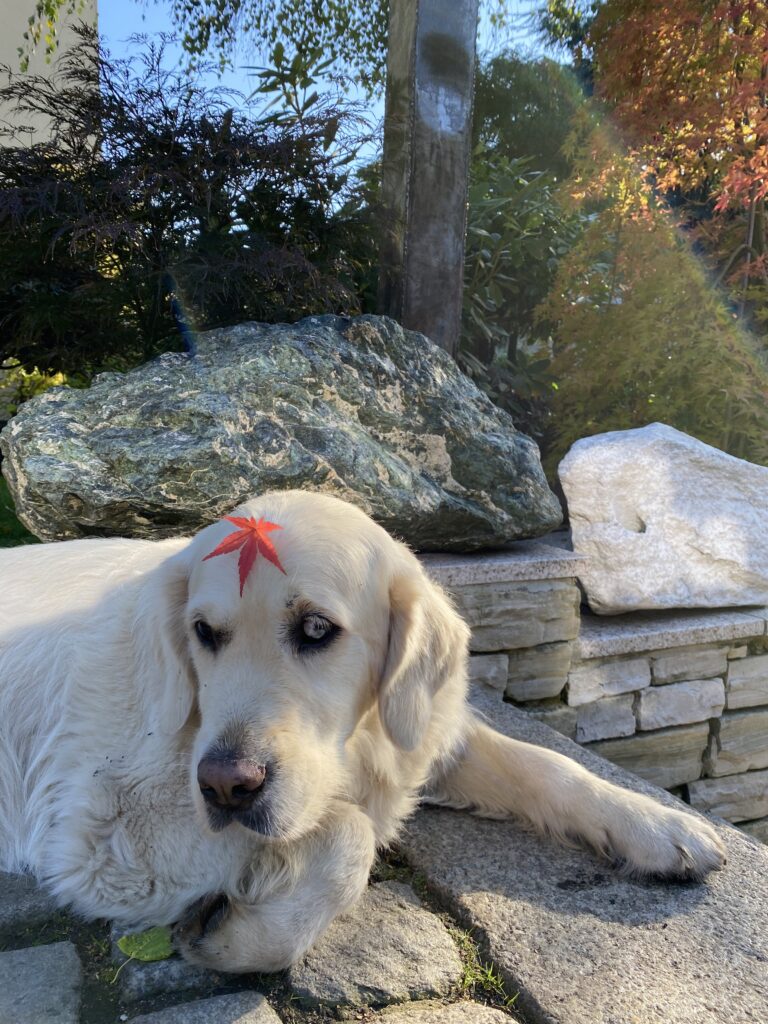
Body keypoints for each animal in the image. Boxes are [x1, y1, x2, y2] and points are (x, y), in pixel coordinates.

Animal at [0, 490, 725, 972]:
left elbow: (551, 765)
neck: (352, 746)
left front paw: (658, 825)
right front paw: (237, 935)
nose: (227, 786)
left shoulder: (421, 732)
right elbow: (350, 833)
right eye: (203, 633)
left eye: (317, 628)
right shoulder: (103, 836)